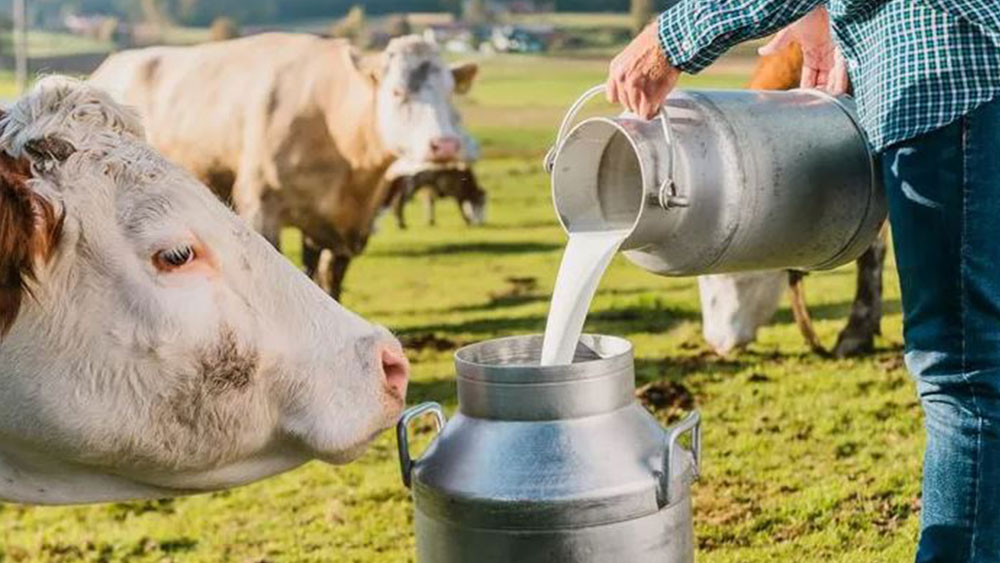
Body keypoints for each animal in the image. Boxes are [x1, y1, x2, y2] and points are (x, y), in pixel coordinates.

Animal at [90, 33, 476, 300]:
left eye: (449, 92)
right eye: (397, 92)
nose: (446, 145)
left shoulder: (340, 228)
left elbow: (327, 279)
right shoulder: (262, 209)